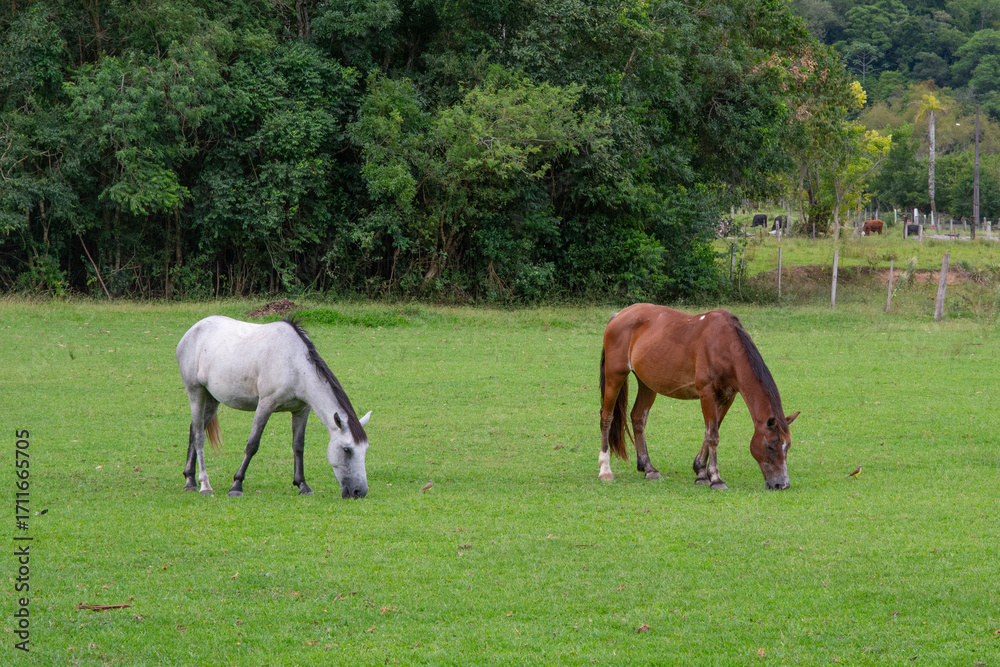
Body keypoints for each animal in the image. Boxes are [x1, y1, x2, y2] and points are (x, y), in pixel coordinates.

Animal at [176, 316, 372, 498]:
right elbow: (252, 444)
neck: (294, 363)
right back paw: (204, 484)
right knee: (199, 435)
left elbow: (298, 446)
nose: (359, 491)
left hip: (212, 399)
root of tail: (193, 330)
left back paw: (190, 479)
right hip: (196, 392)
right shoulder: (265, 405)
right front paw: (237, 485)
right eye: (347, 450)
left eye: (365, 450)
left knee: (194, 429)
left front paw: (302, 485)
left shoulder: (302, 410)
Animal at [598, 304, 799, 490]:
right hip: (615, 377)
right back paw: (605, 470)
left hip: (647, 385)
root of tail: (620, 314)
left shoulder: (728, 397)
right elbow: (713, 436)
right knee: (607, 418)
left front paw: (701, 472)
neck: (724, 346)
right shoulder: (706, 393)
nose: (782, 484)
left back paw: (648, 468)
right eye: (770, 446)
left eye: (787, 446)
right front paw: (716, 479)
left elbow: (711, 430)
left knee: (638, 417)